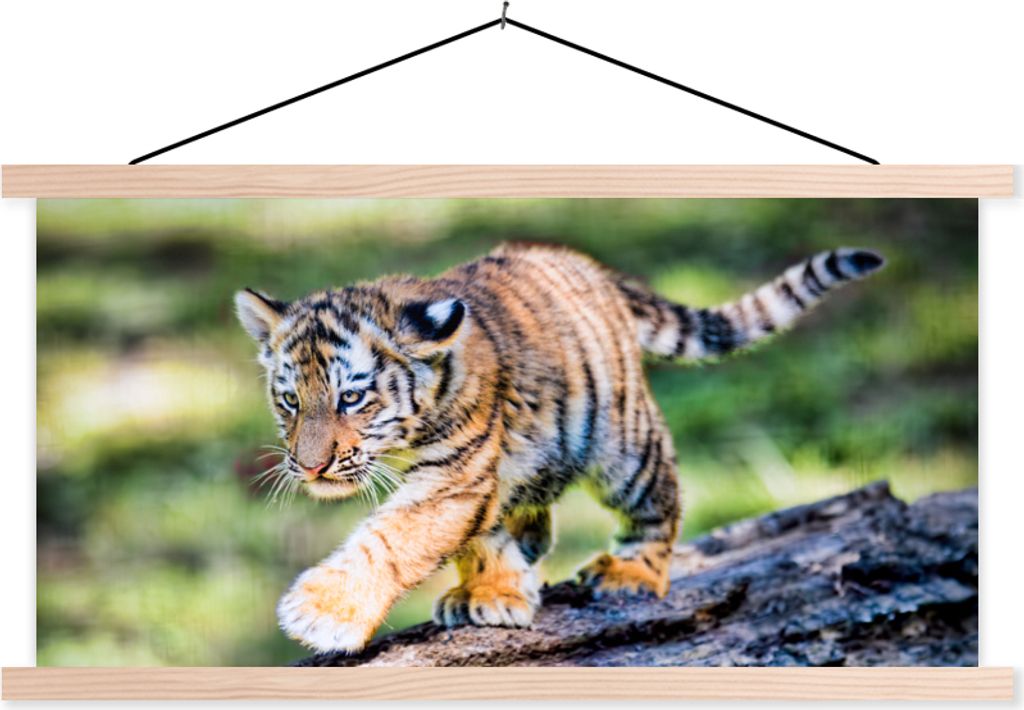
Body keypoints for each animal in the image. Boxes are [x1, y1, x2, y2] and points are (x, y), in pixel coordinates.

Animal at [234, 242, 884, 653]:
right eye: (290, 401)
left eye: (351, 398)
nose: (310, 466)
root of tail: (588, 265)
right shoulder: (479, 477)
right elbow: (477, 538)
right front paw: (491, 593)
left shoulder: (455, 474)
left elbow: (393, 538)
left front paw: (322, 613)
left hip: (624, 447)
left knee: (660, 503)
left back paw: (631, 573)